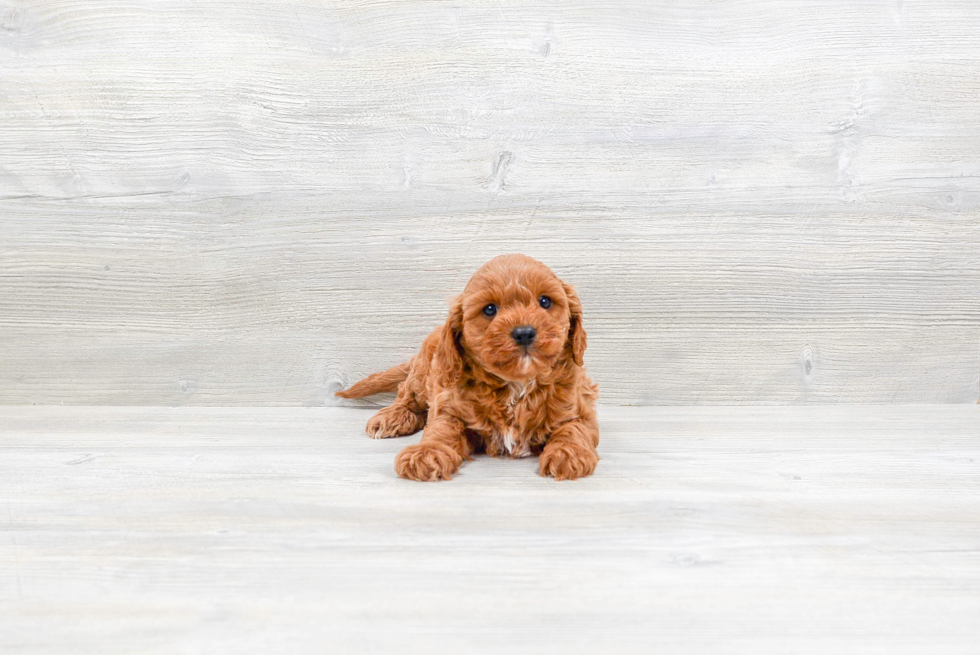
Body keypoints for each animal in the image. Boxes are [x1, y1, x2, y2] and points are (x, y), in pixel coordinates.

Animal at [334, 255, 596, 482]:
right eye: (489, 309)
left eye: (545, 301)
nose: (524, 332)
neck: (517, 384)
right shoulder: (449, 405)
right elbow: (441, 429)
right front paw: (427, 452)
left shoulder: (579, 408)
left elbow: (574, 429)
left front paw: (568, 454)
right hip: (421, 374)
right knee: (407, 395)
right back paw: (392, 417)